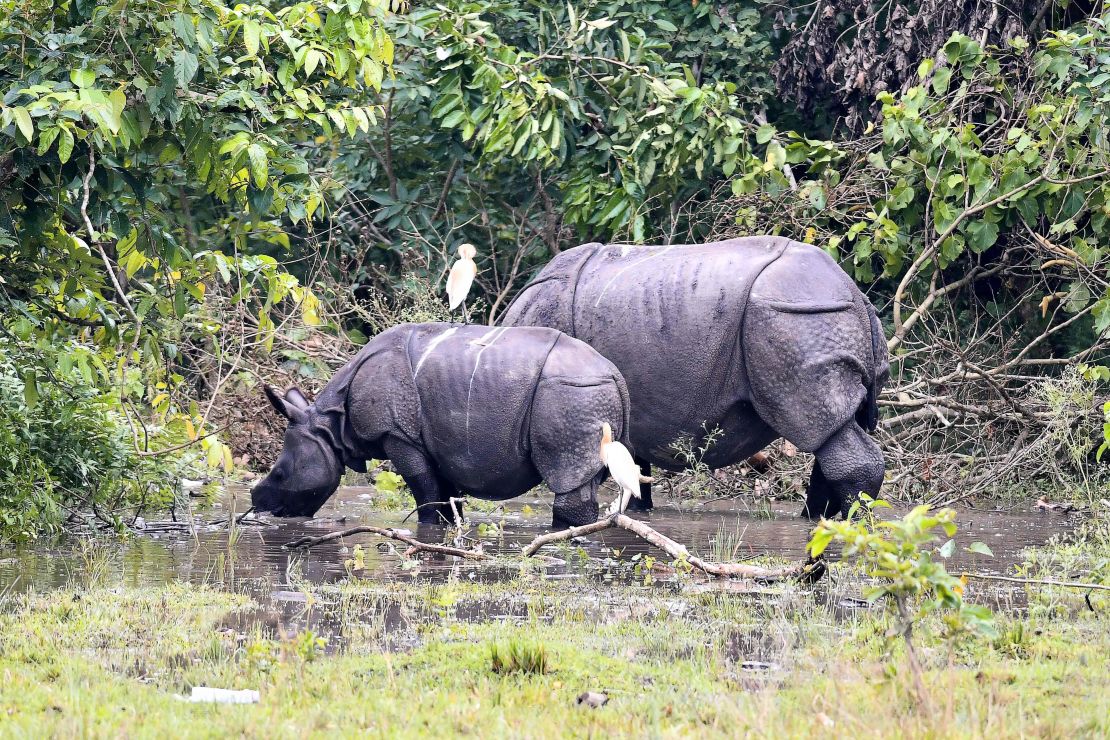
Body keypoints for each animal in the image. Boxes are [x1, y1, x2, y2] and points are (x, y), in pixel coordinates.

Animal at [247, 323, 639, 525]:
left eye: (280, 474)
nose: (259, 507)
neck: (329, 424)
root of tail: (615, 374)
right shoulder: (440, 443)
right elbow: (446, 495)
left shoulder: (397, 434)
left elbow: (423, 490)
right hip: (588, 398)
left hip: (571, 394)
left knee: (567, 478)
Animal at [499, 238, 888, 521]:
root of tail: (856, 295)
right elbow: (635, 463)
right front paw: (639, 511)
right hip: (813, 315)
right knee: (835, 428)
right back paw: (817, 519)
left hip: (797, 317)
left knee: (818, 425)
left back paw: (850, 521)